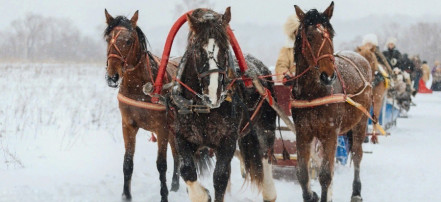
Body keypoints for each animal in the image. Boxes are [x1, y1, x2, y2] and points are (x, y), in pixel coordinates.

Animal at [103, 10, 179, 201]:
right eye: (108, 39)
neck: (140, 88)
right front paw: (126, 195)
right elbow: (127, 162)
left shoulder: (162, 128)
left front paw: (164, 196)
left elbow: (161, 165)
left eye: (129, 40)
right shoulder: (128, 125)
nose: (112, 77)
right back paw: (175, 185)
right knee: (177, 153)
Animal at [171, 7, 276, 202]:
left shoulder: (228, 139)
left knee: (265, 154)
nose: (213, 95)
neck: (204, 109)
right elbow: (187, 170)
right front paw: (203, 194)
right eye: (198, 50)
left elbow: (220, 177)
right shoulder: (182, 136)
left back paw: (269, 192)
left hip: (265, 125)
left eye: (225, 49)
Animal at [286, 2, 372, 201]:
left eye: (330, 35)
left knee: (357, 154)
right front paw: (311, 195)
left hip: (361, 121)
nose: (328, 76)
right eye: (310, 37)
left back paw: (356, 191)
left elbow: (325, 175)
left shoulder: (330, 132)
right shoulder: (303, 132)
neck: (313, 93)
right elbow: (302, 173)